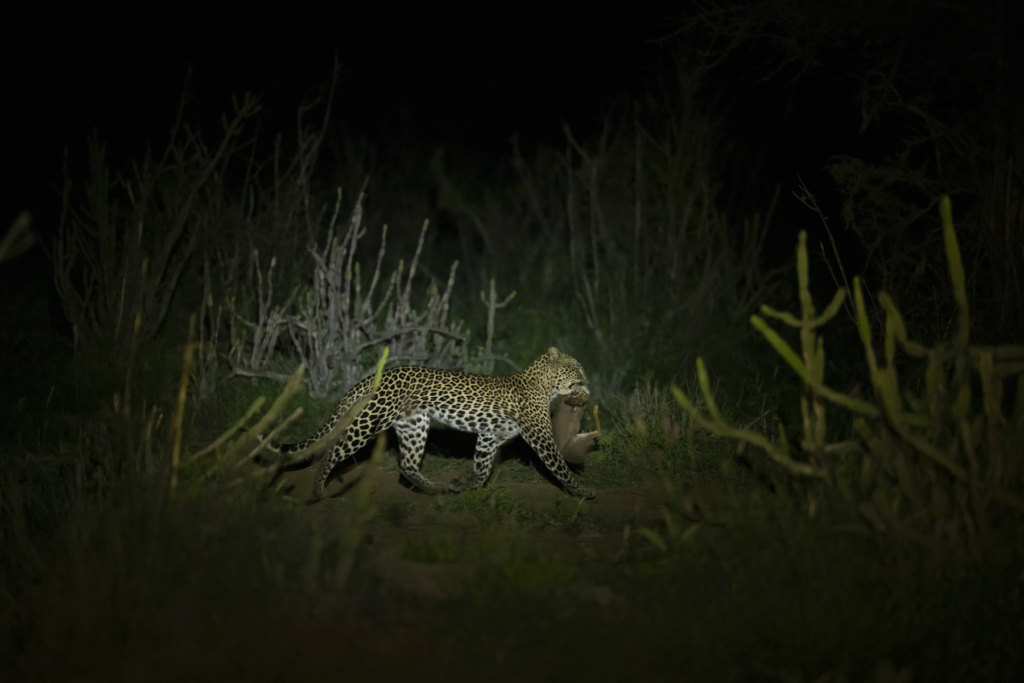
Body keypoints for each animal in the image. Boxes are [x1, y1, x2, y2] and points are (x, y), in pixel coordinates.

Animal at [268, 348, 598, 501]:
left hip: (414, 427)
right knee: (334, 448)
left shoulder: (489, 437)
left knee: (407, 465)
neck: (544, 386)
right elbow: (558, 464)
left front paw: (464, 487)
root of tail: (379, 376)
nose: (588, 383)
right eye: (577, 369)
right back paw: (319, 491)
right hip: (370, 421)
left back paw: (435, 488)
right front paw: (582, 491)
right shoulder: (540, 436)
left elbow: (482, 468)